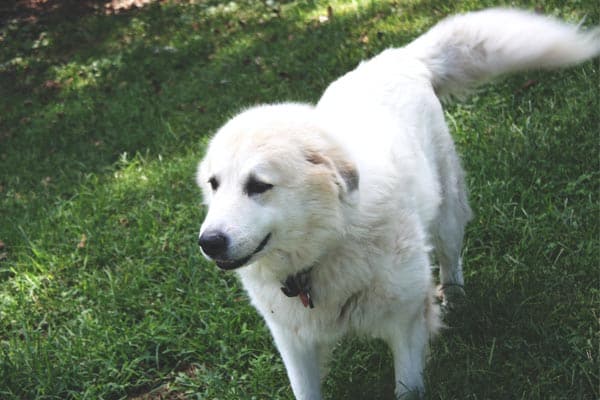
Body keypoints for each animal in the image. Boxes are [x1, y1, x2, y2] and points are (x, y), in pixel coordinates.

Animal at [196, 9, 596, 400]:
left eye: (259, 186)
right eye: (214, 184)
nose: (208, 242)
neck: (329, 246)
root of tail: (398, 57)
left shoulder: (405, 324)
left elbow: (406, 387)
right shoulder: (295, 344)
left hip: (447, 215)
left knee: (451, 261)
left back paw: (455, 301)